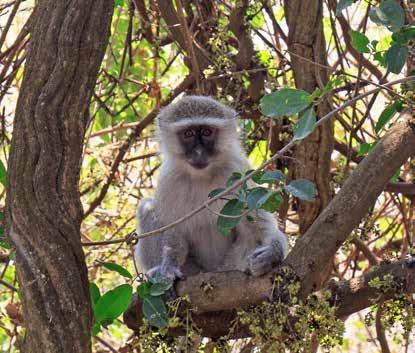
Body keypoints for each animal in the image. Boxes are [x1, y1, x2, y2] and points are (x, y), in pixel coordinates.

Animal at [135, 95, 288, 280]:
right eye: (188, 134)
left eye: (207, 132)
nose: (199, 153)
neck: (203, 176)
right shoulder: (169, 180)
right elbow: (173, 229)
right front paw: (169, 265)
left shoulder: (238, 172)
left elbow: (258, 223)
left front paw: (273, 253)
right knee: (147, 207)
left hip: (229, 264)